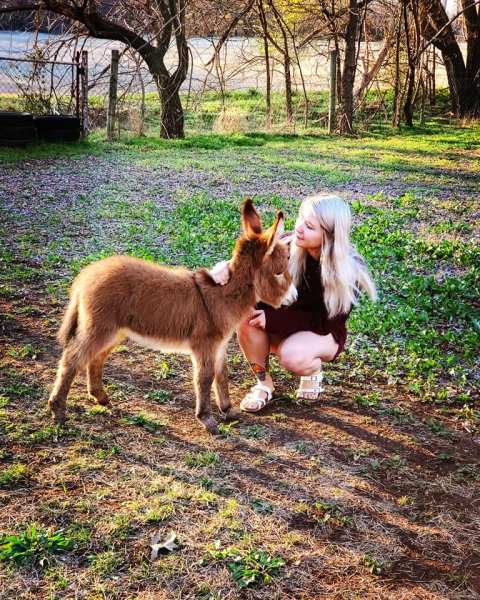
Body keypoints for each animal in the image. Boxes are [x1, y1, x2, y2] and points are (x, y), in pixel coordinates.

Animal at [48, 199, 290, 434]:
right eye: (281, 270)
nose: (292, 299)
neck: (224, 294)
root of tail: (87, 274)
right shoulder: (204, 347)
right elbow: (204, 379)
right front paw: (207, 420)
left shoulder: (219, 346)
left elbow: (222, 376)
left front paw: (228, 411)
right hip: (100, 329)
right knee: (72, 358)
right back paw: (58, 410)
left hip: (114, 332)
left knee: (95, 358)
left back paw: (101, 398)